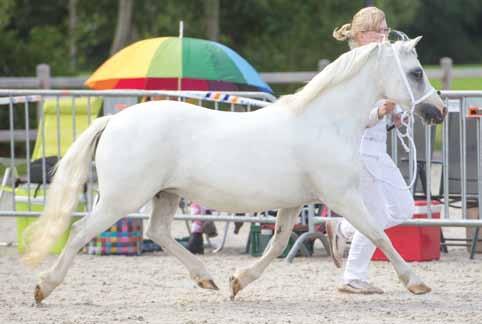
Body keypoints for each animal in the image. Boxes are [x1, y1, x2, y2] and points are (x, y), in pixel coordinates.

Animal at [21, 38, 444, 304]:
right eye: (416, 72)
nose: (437, 111)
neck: (325, 121)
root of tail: (114, 120)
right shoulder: (342, 196)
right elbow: (377, 233)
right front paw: (417, 283)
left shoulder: (293, 203)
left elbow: (278, 243)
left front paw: (238, 282)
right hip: (120, 199)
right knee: (81, 231)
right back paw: (43, 287)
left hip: (165, 194)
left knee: (157, 232)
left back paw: (204, 277)